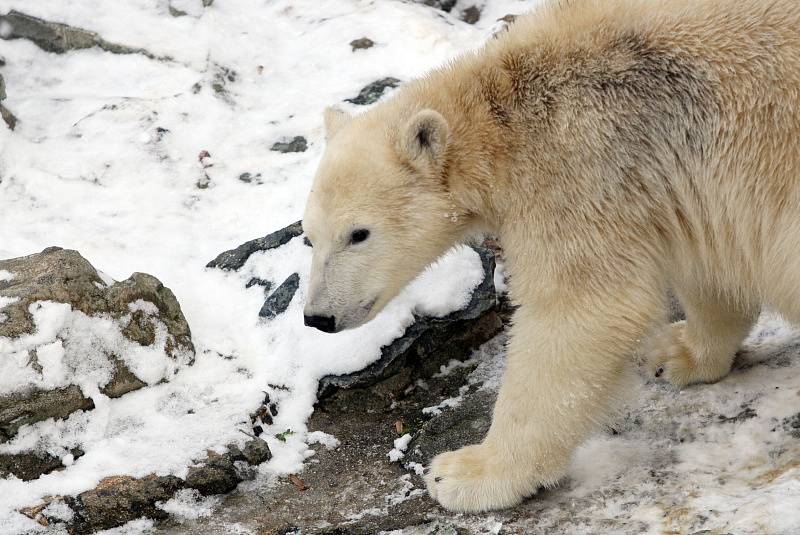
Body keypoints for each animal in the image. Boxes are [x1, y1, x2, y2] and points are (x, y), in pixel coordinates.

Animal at [304, 0, 800, 516]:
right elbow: (707, 266)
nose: (318, 317)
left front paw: (466, 473)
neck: (503, 112)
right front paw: (676, 352)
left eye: (358, 234)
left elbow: (582, 310)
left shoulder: (577, 168)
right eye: (309, 236)